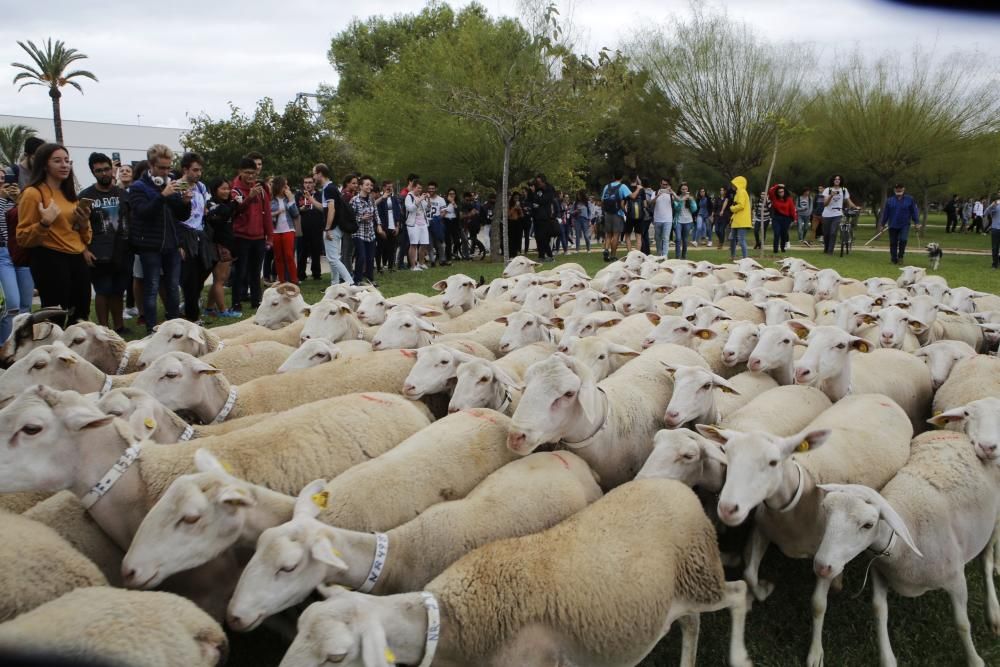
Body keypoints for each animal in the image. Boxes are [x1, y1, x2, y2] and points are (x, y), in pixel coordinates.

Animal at [276, 482, 752, 667]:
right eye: (298, 629)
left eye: (336, 656)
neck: (453, 620)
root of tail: (679, 488)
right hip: (680, 588)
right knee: (691, 622)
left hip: (702, 576)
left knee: (741, 592)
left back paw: (739, 655)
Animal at [812, 428, 1000, 667]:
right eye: (825, 510)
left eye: (868, 525)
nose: (822, 567)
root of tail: (954, 432)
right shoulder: (880, 571)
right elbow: (878, 609)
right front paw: (888, 658)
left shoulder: (956, 578)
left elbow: (962, 623)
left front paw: (975, 660)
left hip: (994, 522)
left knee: (986, 560)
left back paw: (993, 611)